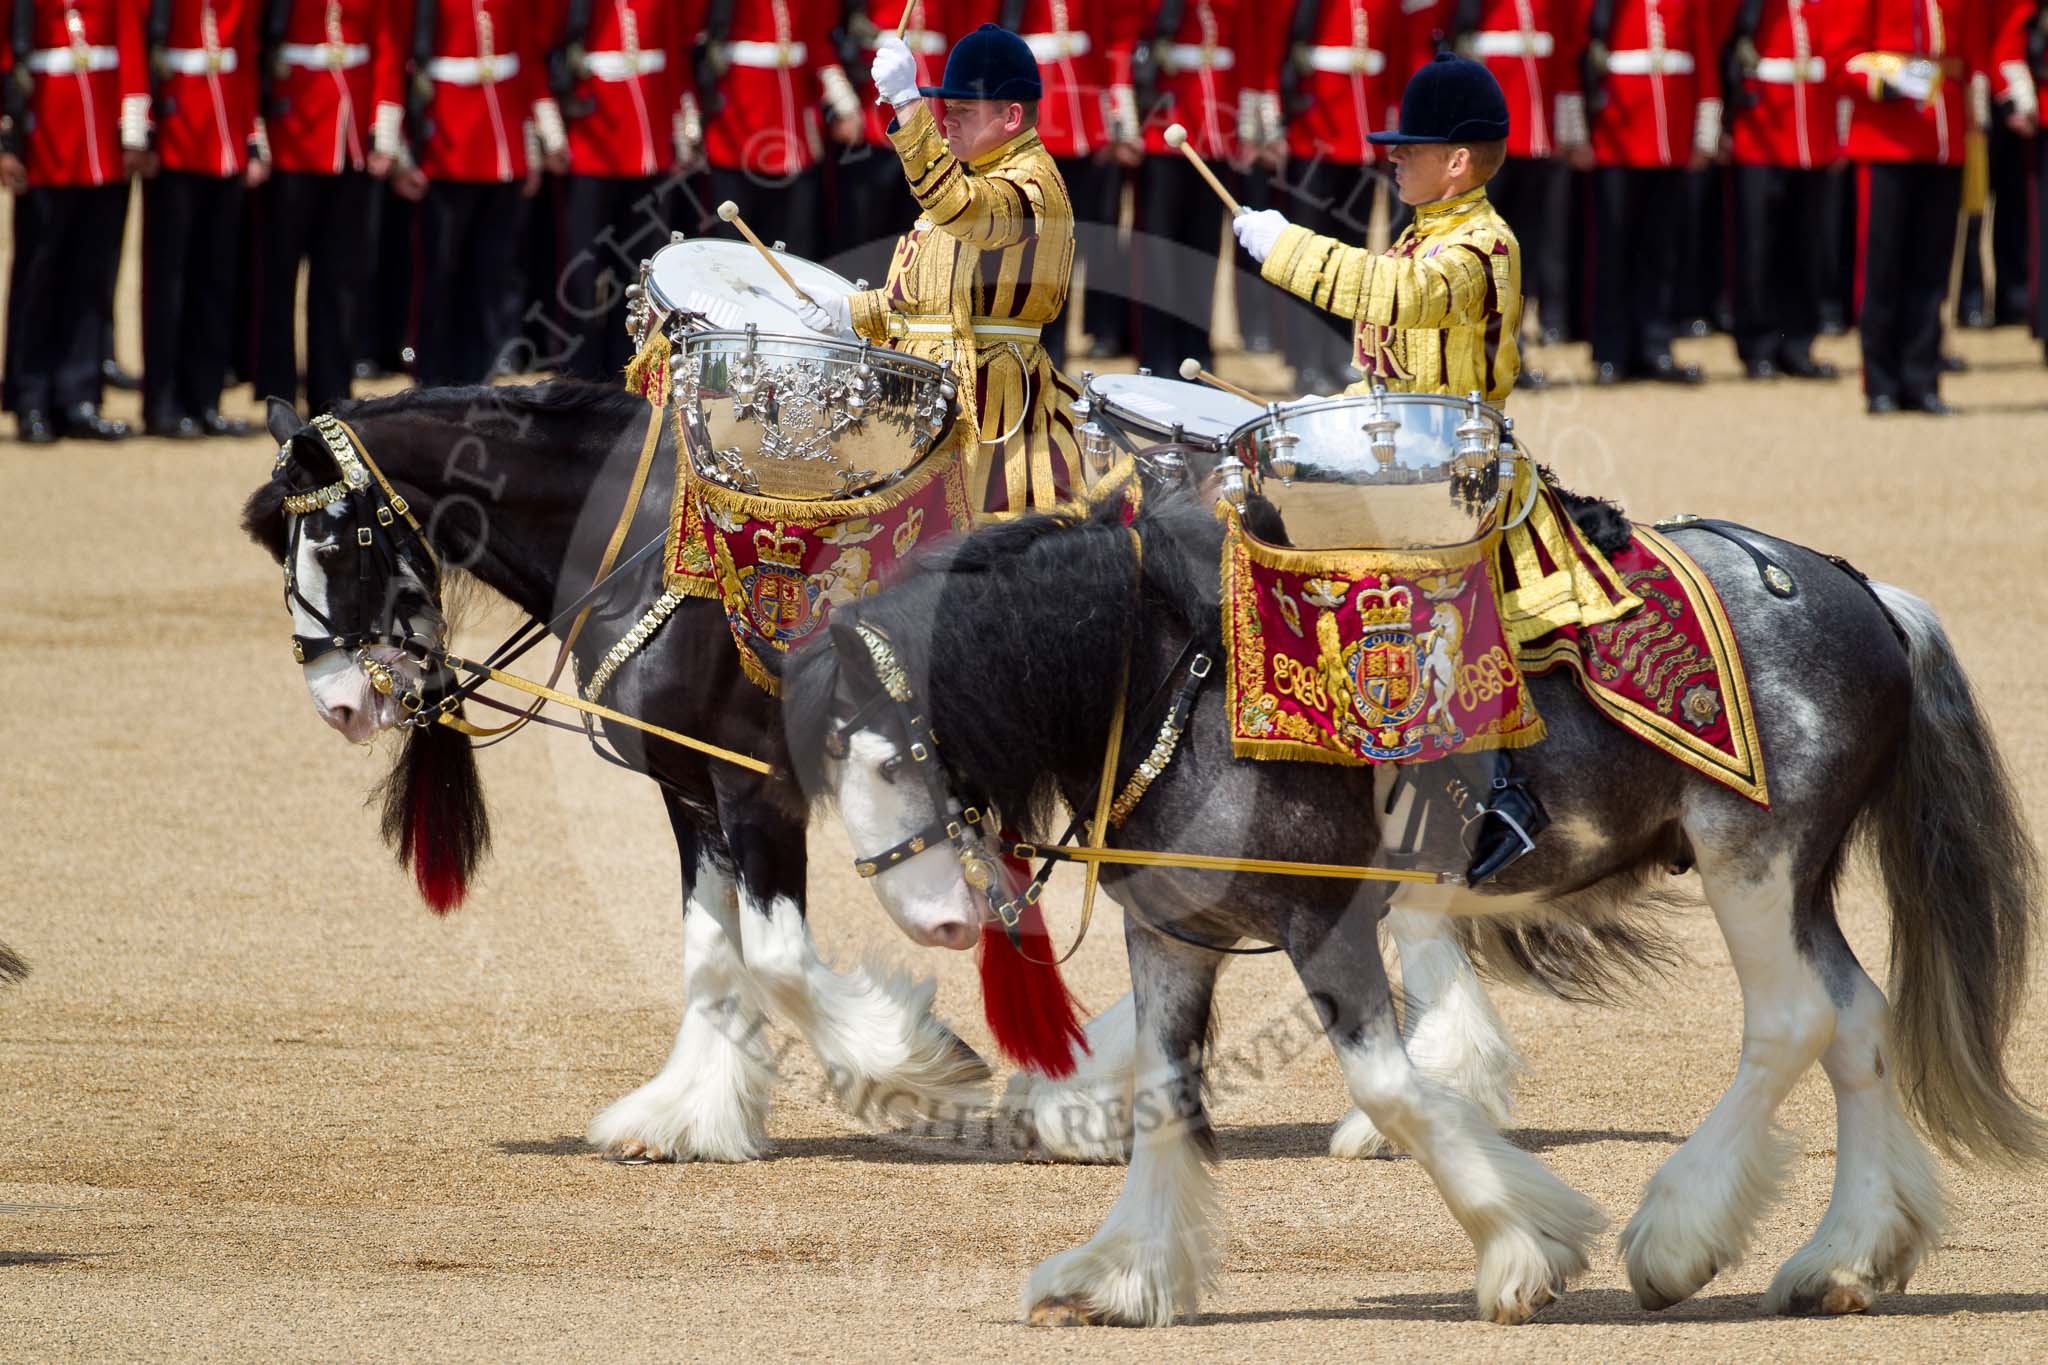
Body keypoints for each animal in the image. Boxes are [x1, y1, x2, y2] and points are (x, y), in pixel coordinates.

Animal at [778, 489, 2031, 1326]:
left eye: (895, 751)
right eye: (828, 756)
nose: (934, 923)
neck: (1181, 686)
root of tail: (1859, 592)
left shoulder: (1322, 927)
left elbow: (1389, 1089)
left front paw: (1522, 1249)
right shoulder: (1173, 936)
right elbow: (1163, 1100)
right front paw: (1121, 1274)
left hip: (1750, 863)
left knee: (1791, 1023)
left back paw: (1676, 1236)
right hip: (1793, 879)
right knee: (1856, 1024)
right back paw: (1845, 1258)